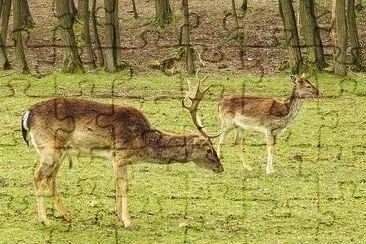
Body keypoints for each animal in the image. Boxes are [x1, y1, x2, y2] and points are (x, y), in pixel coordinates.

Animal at [22, 97, 223, 229]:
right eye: (209, 150)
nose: (220, 168)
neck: (141, 140)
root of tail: (27, 114)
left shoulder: (117, 160)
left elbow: (118, 185)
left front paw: (118, 215)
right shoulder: (120, 155)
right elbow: (125, 186)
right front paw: (128, 222)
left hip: (61, 152)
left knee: (51, 178)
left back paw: (66, 216)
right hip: (49, 148)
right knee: (38, 176)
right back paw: (45, 220)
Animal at [183, 73, 320, 174]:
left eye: (310, 82)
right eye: (308, 86)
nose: (319, 92)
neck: (284, 112)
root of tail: (220, 103)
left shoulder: (275, 132)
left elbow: (273, 147)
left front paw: (272, 169)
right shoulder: (268, 128)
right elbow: (269, 147)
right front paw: (269, 170)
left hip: (240, 127)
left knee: (236, 142)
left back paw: (248, 167)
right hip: (227, 123)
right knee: (220, 140)